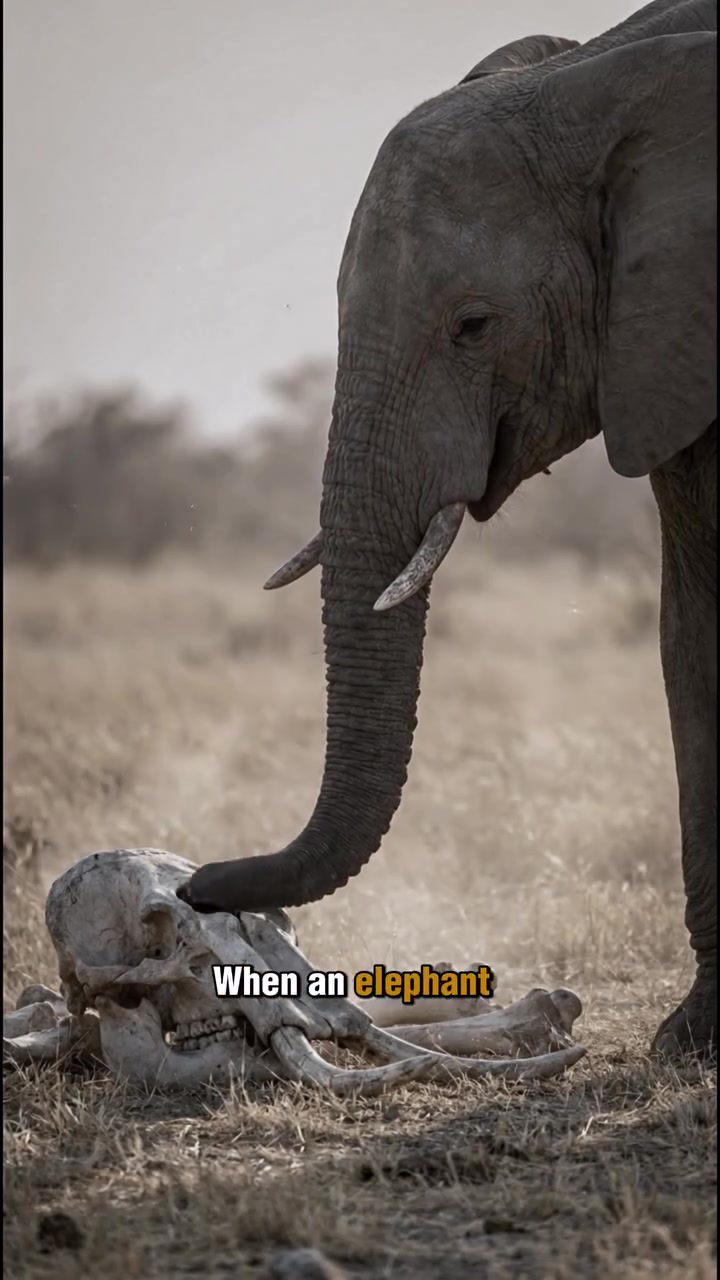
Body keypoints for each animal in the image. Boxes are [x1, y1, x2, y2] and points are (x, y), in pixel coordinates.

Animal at [182, 1, 717, 1059]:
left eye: (474, 325)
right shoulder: (666, 350)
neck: (604, 76)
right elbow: (693, 629)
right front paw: (694, 1040)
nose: (195, 889)